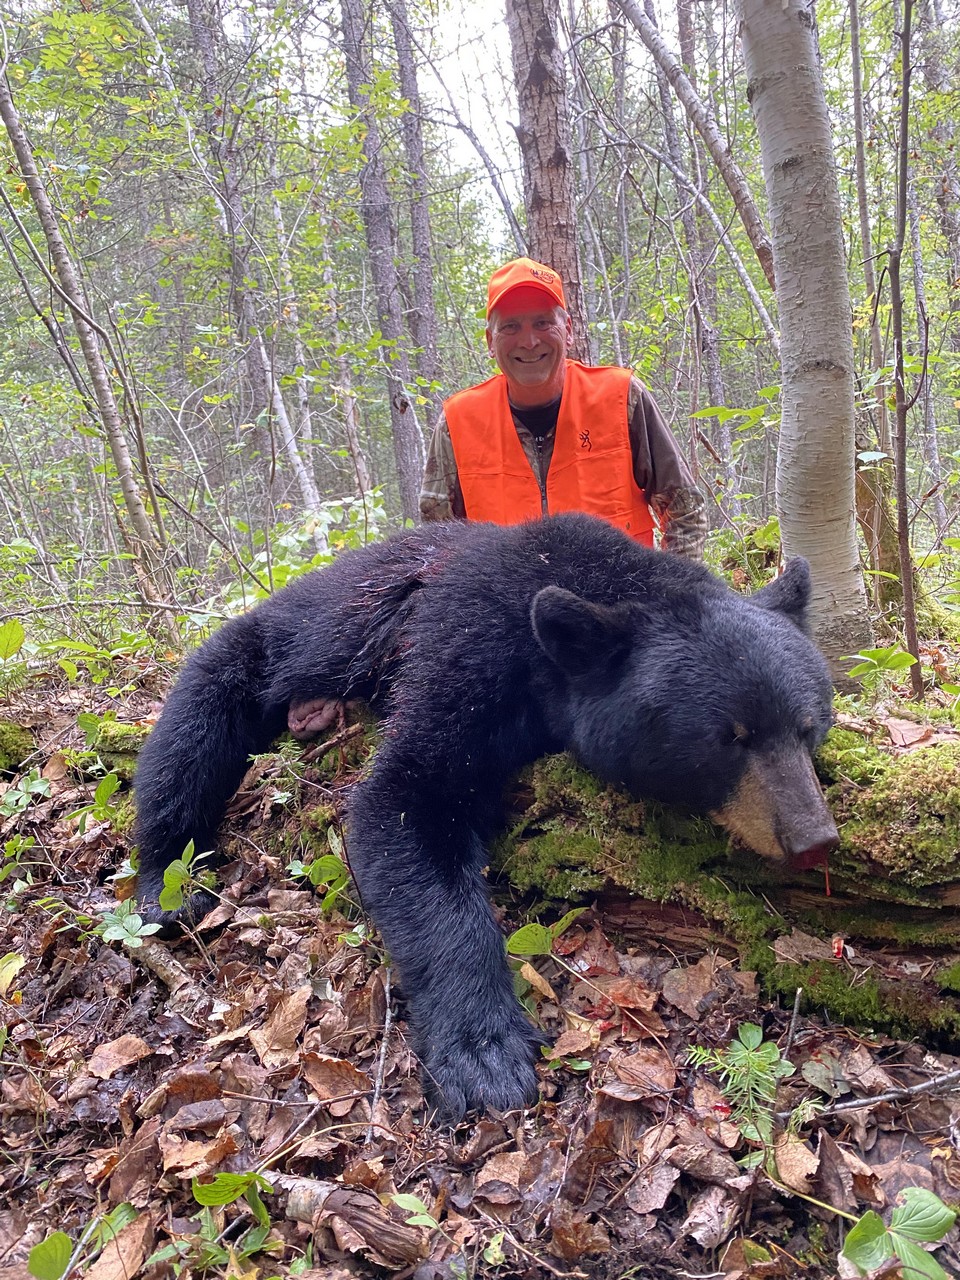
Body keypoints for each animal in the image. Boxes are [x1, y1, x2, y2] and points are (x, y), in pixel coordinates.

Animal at [131, 514, 839, 1116]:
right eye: (730, 739)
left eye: (808, 726)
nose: (813, 838)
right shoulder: (468, 650)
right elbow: (404, 804)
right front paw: (484, 1054)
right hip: (275, 646)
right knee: (192, 733)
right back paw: (165, 885)